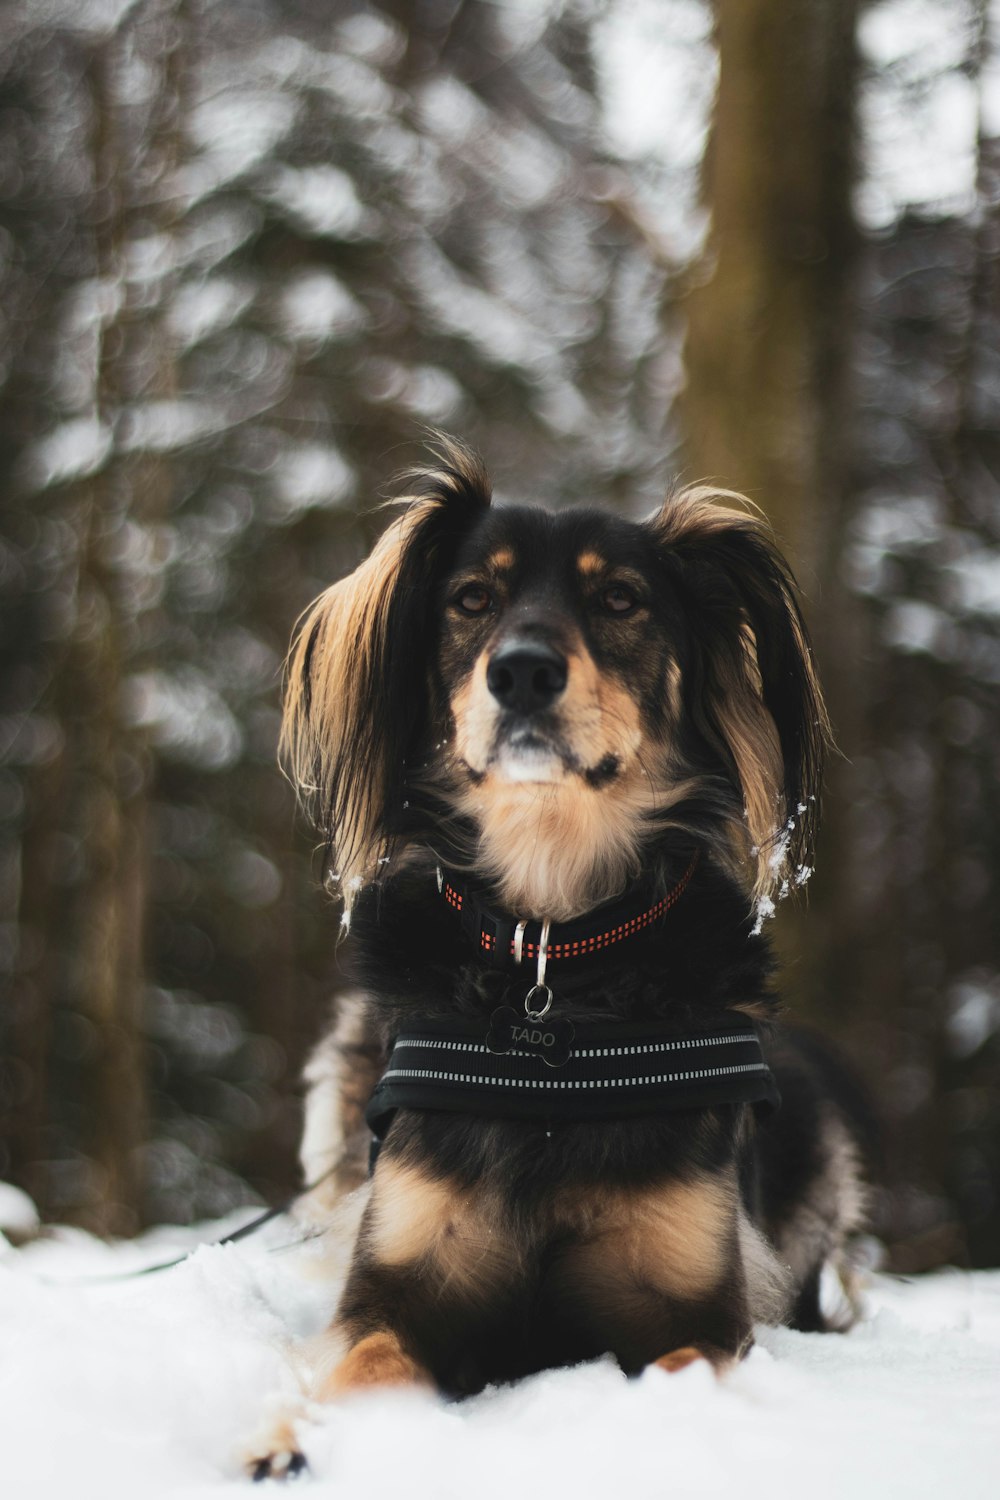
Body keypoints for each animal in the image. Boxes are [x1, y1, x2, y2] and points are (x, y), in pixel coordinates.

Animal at [248, 438, 869, 1482]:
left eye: (620, 599)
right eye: (470, 599)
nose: (524, 672)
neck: (552, 962)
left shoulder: (702, 1310)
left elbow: (680, 1365)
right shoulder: (394, 1284)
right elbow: (364, 1356)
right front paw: (292, 1437)